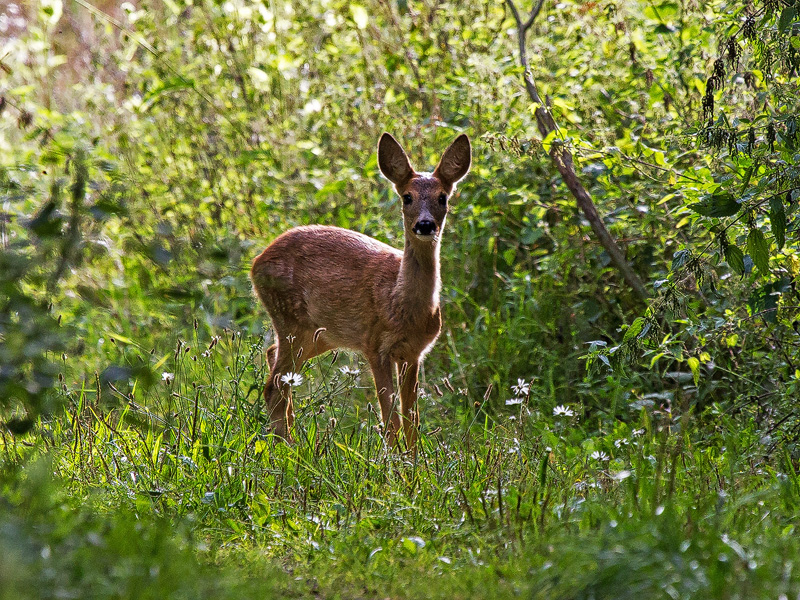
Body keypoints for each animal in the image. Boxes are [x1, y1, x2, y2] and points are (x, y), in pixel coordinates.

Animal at [250, 131, 472, 450]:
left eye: (443, 197)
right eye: (407, 197)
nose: (425, 225)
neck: (402, 305)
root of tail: (256, 262)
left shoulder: (414, 352)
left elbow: (411, 419)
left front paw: (414, 460)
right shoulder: (375, 344)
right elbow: (390, 417)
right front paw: (393, 459)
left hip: (321, 335)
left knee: (275, 364)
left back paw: (292, 441)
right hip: (290, 318)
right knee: (274, 385)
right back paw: (287, 447)